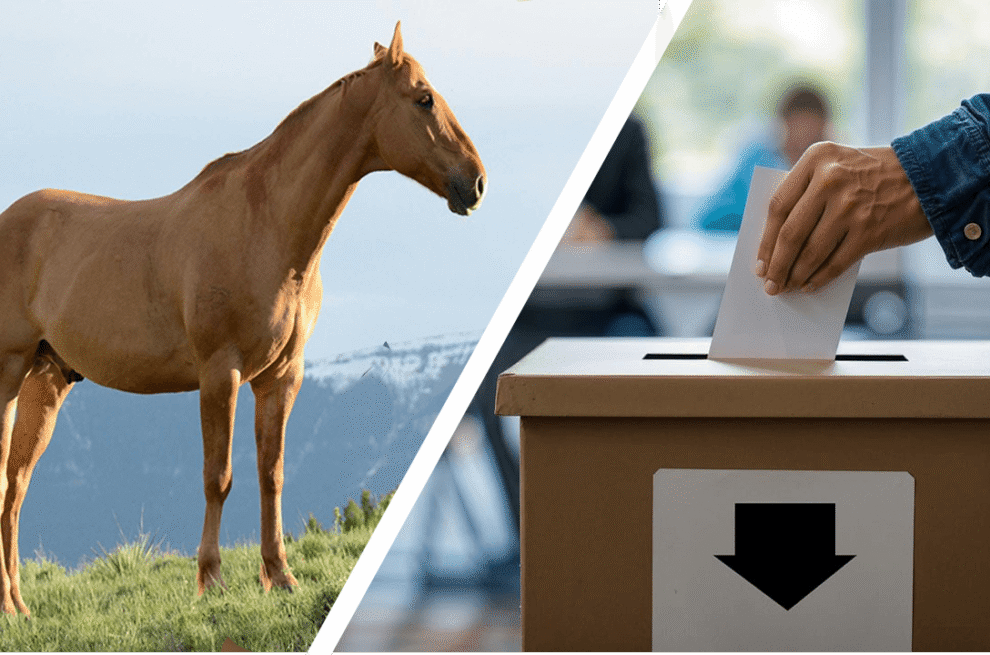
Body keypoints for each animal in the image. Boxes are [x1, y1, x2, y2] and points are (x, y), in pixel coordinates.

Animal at [0, 22, 485, 616]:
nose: (476, 182)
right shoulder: (220, 373)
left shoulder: (281, 376)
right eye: (423, 99)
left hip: (46, 381)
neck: (267, 225)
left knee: (15, 487)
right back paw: (8, 606)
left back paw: (17, 605)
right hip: (8, 373)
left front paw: (279, 576)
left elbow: (270, 473)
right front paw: (211, 580)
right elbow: (219, 476)